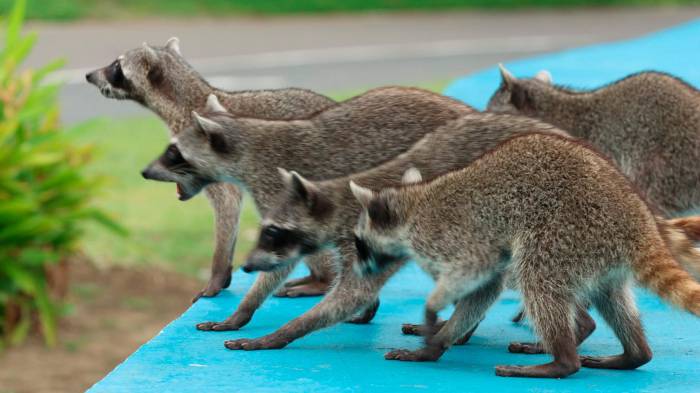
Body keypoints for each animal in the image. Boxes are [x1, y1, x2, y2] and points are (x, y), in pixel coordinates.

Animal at [352, 133, 700, 378]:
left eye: (358, 243)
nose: (358, 270)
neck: (412, 204)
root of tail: (640, 222)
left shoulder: (447, 236)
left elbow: (480, 280)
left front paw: (435, 328)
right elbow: (480, 289)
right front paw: (441, 336)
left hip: (571, 230)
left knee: (536, 276)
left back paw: (562, 361)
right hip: (599, 253)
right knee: (610, 297)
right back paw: (634, 354)